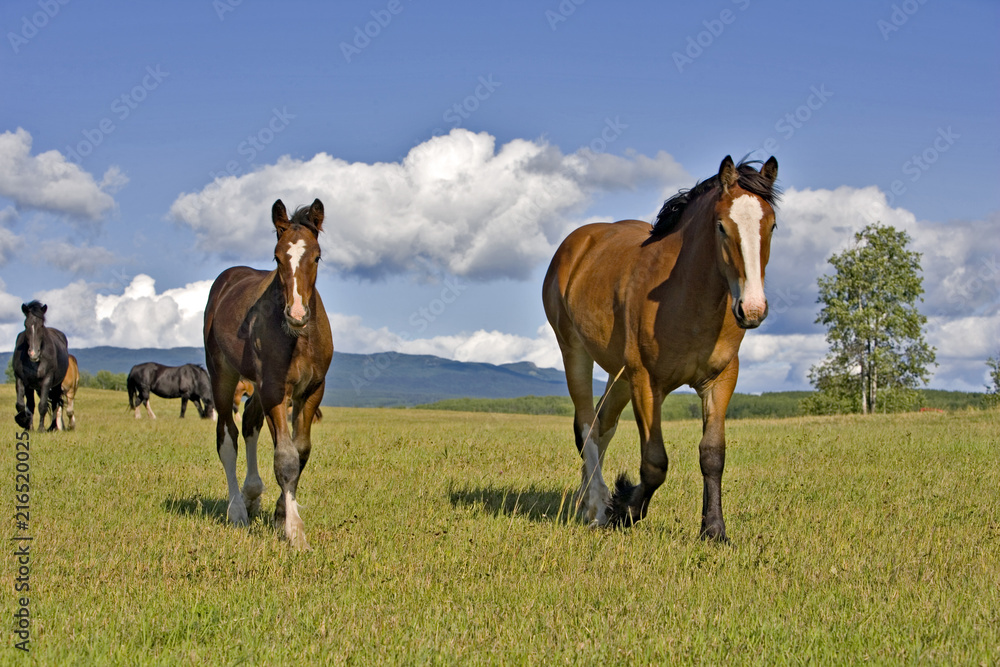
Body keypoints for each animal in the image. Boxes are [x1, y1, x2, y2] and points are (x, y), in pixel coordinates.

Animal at [13, 301, 69, 431]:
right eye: (26, 325)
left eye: (42, 325)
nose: (33, 353)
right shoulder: (21, 380)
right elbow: (22, 405)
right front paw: (25, 424)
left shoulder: (47, 380)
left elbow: (43, 405)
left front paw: (41, 429)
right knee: (33, 405)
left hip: (56, 385)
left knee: (55, 402)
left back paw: (53, 427)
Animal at [204, 198, 333, 550]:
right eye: (277, 257)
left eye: (317, 255)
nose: (297, 314)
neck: (298, 338)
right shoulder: (275, 390)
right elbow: (285, 457)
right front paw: (295, 531)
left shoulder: (312, 391)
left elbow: (301, 452)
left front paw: (279, 515)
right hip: (223, 376)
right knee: (227, 437)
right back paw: (237, 509)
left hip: (258, 388)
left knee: (250, 423)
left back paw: (252, 495)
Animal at [542, 155, 780, 540]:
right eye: (721, 226)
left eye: (771, 225)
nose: (753, 308)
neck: (686, 297)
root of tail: (578, 242)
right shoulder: (646, 382)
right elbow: (655, 463)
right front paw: (625, 508)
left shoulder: (720, 381)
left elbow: (712, 455)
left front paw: (714, 530)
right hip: (575, 352)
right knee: (586, 426)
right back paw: (597, 506)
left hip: (619, 375)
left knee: (602, 425)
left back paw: (585, 500)